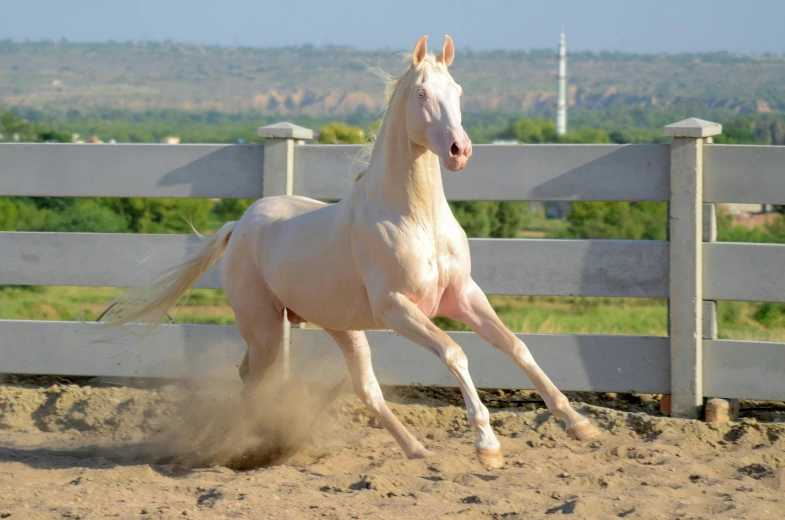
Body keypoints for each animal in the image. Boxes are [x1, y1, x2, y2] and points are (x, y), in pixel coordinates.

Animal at [102, 34, 596, 470]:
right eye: (421, 92)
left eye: (458, 91)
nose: (460, 151)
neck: (415, 219)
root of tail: (239, 226)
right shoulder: (398, 308)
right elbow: (455, 353)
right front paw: (487, 446)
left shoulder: (462, 295)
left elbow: (516, 346)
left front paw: (578, 423)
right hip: (264, 329)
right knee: (252, 377)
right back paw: (246, 445)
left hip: (341, 327)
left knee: (365, 389)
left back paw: (417, 450)